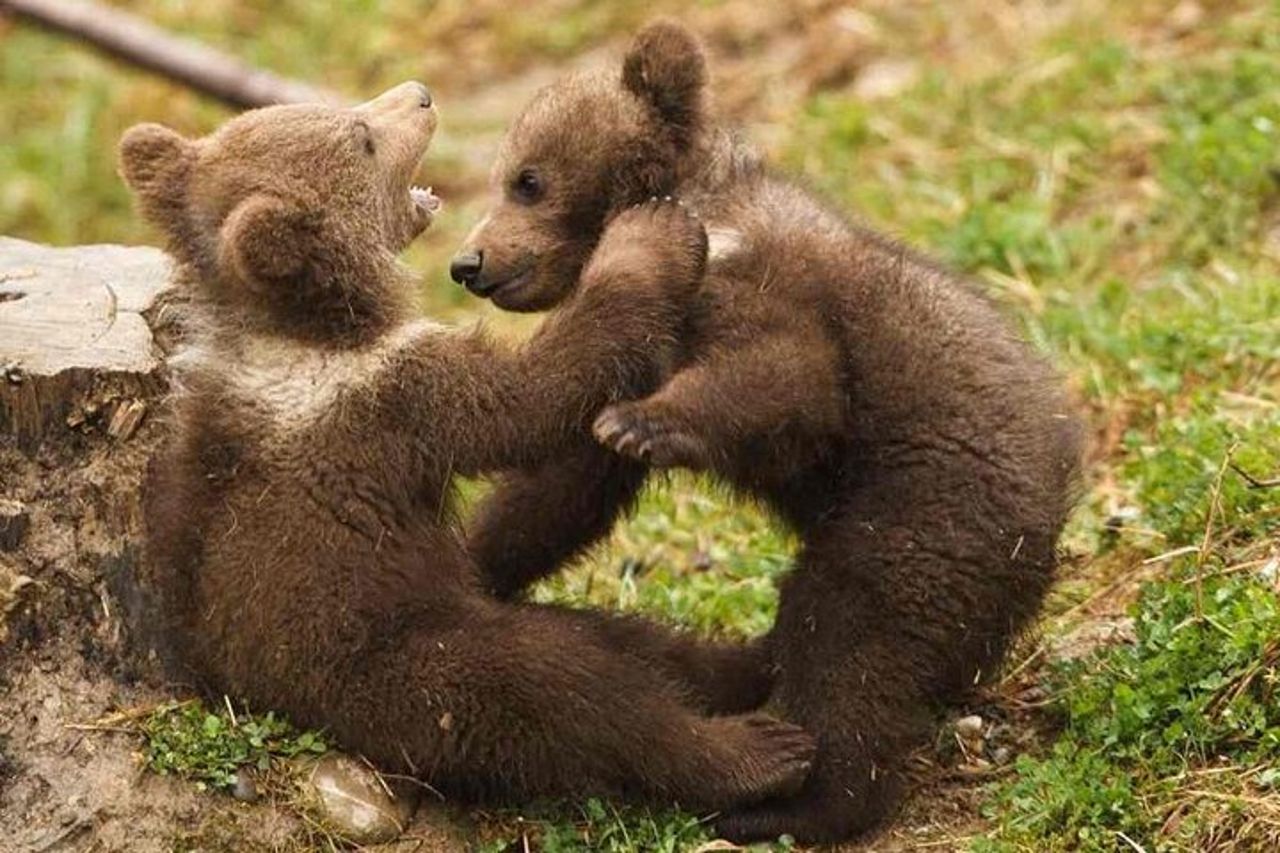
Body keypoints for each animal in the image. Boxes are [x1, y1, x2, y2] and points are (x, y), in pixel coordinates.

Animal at [122, 81, 817, 813]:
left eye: (349, 114)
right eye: (361, 138)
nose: (419, 95)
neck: (307, 330)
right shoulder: (398, 398)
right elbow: (532, 395)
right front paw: (648, 233)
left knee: (618, 639)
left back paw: (750, 657)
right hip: (393, 665)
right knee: (561, 688)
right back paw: (757, 750)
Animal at [453, 23, 1084, 844]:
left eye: (526, 179)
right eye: (504, 174)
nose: (469, 261)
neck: (696, 206)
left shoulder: (758, 286)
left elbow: (791, 377)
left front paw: (645, 424)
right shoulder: (647, 342)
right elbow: (559, 487)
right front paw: (473, 559)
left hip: (925, 510)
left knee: (847, 634)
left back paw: (795, 800)